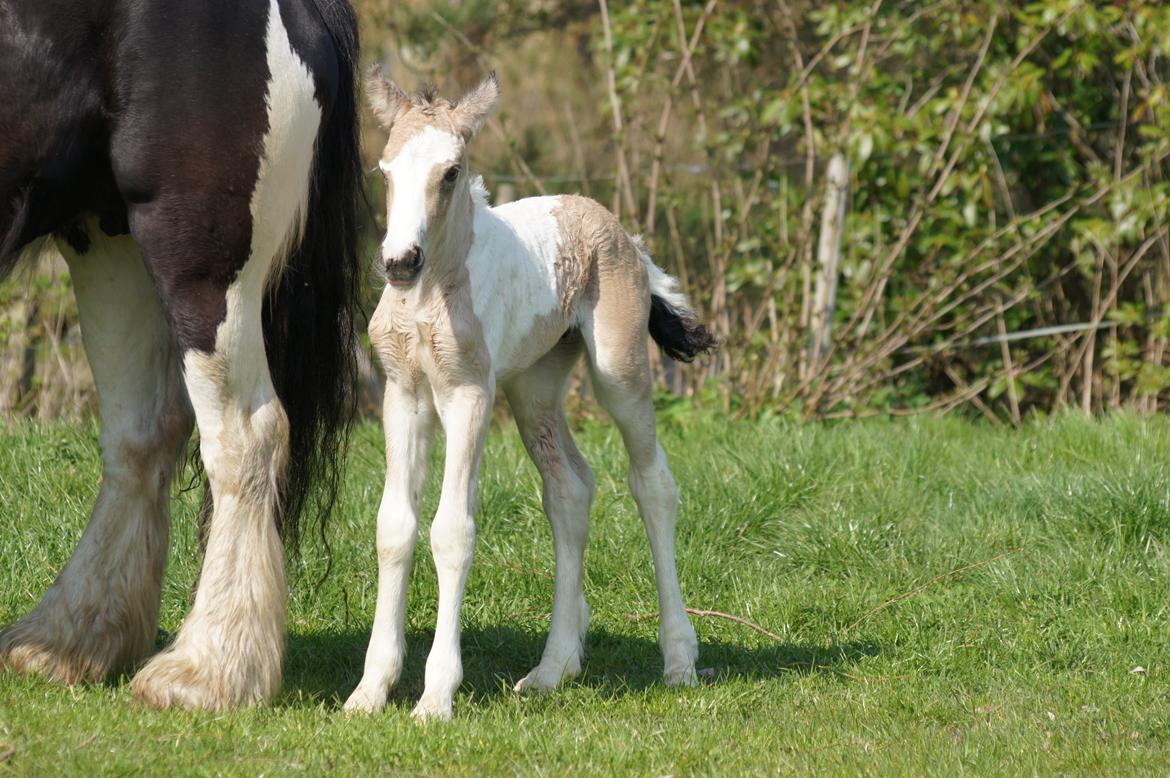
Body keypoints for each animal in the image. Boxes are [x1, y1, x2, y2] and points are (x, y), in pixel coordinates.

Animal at [0, 0, 360, 711]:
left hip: (198, 262)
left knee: (247, 436)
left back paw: (210, 669)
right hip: (104, 238)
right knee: (141, 437)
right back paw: (72, 639)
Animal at [341, 69, 716, 720]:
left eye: (451, 172)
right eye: (384, 171)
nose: (399, 262)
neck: (429, 296)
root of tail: (623, 232)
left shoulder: (468, 394)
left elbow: (452, 529)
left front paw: (435, 697)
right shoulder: (403, 395)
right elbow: (394, 527)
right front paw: (370, 691)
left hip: (617, 374)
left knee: (653, 485)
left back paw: (678, 661)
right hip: (533, 389)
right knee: (570, 491)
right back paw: (552, 669)